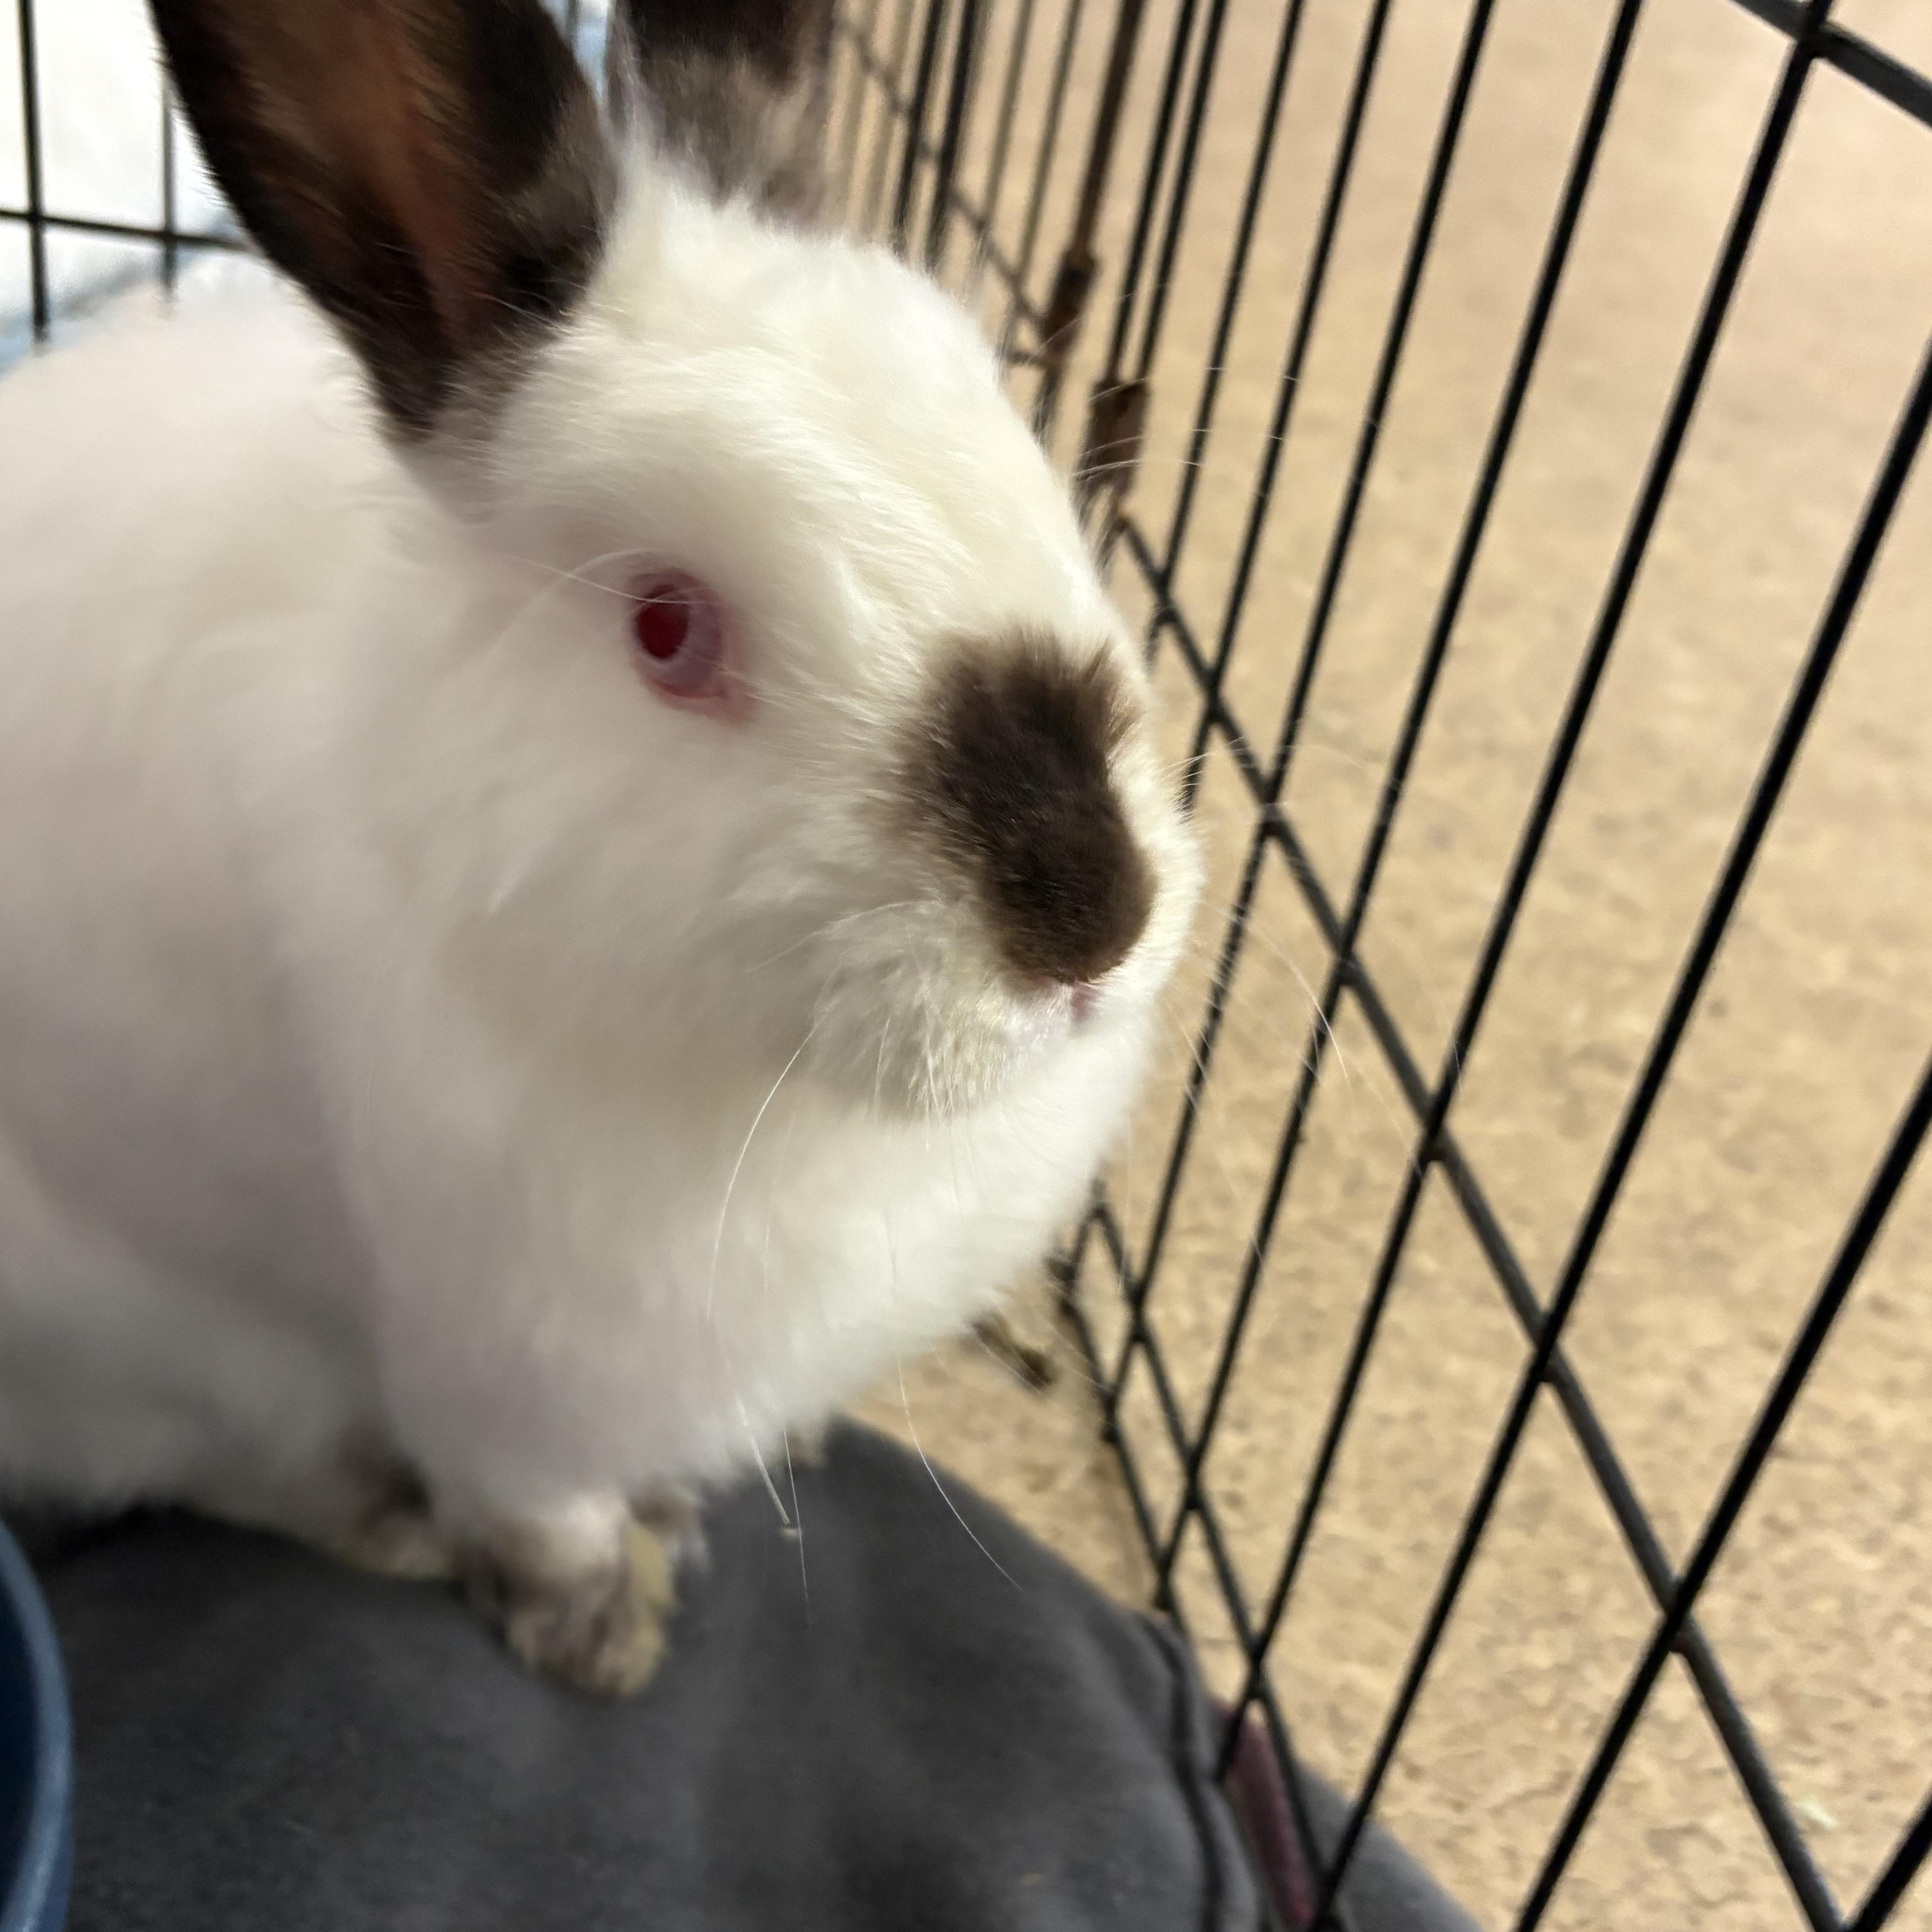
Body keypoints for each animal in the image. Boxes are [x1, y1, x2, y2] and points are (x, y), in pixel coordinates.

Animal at [0, 0, 1201, 1696]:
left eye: (1022, 460)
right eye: (665, 629)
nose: (1090, 921)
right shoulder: (514, 1367)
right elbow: (539, 1504)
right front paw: (600, 1638)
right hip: (137, 1352)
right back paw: (387, 1529)